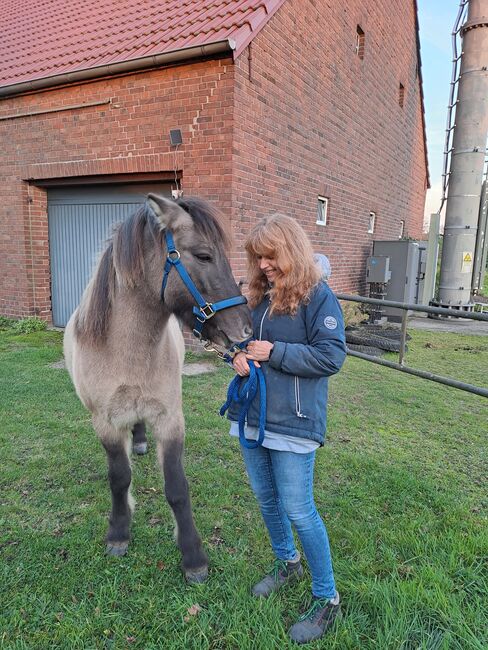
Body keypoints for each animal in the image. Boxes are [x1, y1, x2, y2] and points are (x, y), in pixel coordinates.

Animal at [63, 194, 252, 584]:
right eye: (203, 255)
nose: (244, 329)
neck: (125, 351)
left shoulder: (170, 419)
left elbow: (177, 488)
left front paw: (193, 556)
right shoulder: (105, 423)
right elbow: (119, 479)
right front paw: (119, 533)